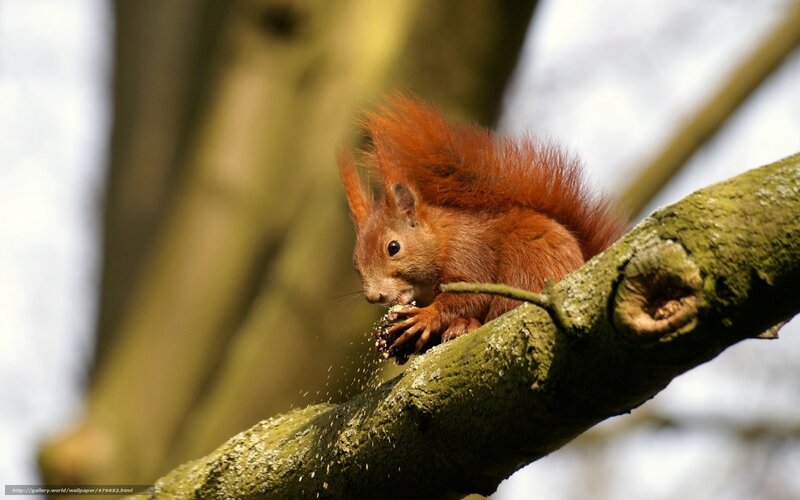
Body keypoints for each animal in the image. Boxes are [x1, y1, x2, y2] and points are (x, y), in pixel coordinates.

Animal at [339, 95, 626, 361]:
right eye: (355, 263)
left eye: (393, 247)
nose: (374, 296)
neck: (442, 238)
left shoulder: (469, 253)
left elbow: (469, 295)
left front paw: (426, 317)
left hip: (524, 268)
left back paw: (466, 326)